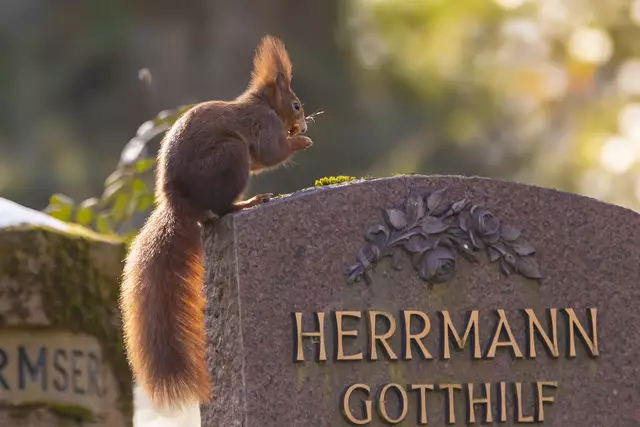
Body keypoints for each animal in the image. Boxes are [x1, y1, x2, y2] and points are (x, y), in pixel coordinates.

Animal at [119, 35, 313, 409]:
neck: (261, 104)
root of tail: (179, 205)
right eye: (296, 105)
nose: (304, 124)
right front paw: (301, 141)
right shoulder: (264, 126)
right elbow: (271, 153)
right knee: (222, 210)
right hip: (230, 156)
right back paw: (247, 203)